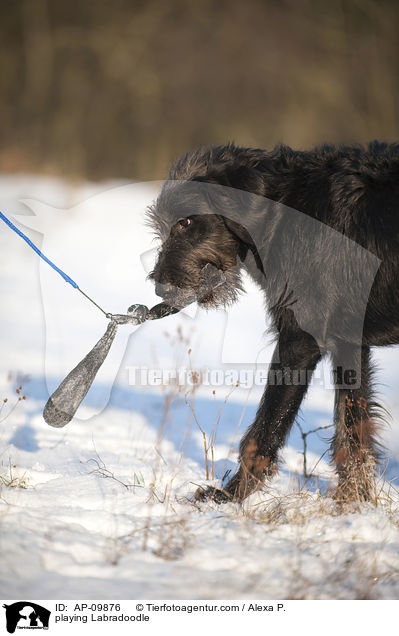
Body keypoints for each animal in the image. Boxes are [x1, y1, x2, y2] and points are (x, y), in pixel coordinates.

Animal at [148, 143, 399, 502]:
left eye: (186, 221)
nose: (161, 288)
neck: (282, 210)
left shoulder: (299, 340)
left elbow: (265, 429)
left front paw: (231, 496)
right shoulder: (350, 343)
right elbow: (352, 434)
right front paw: (355, 502)